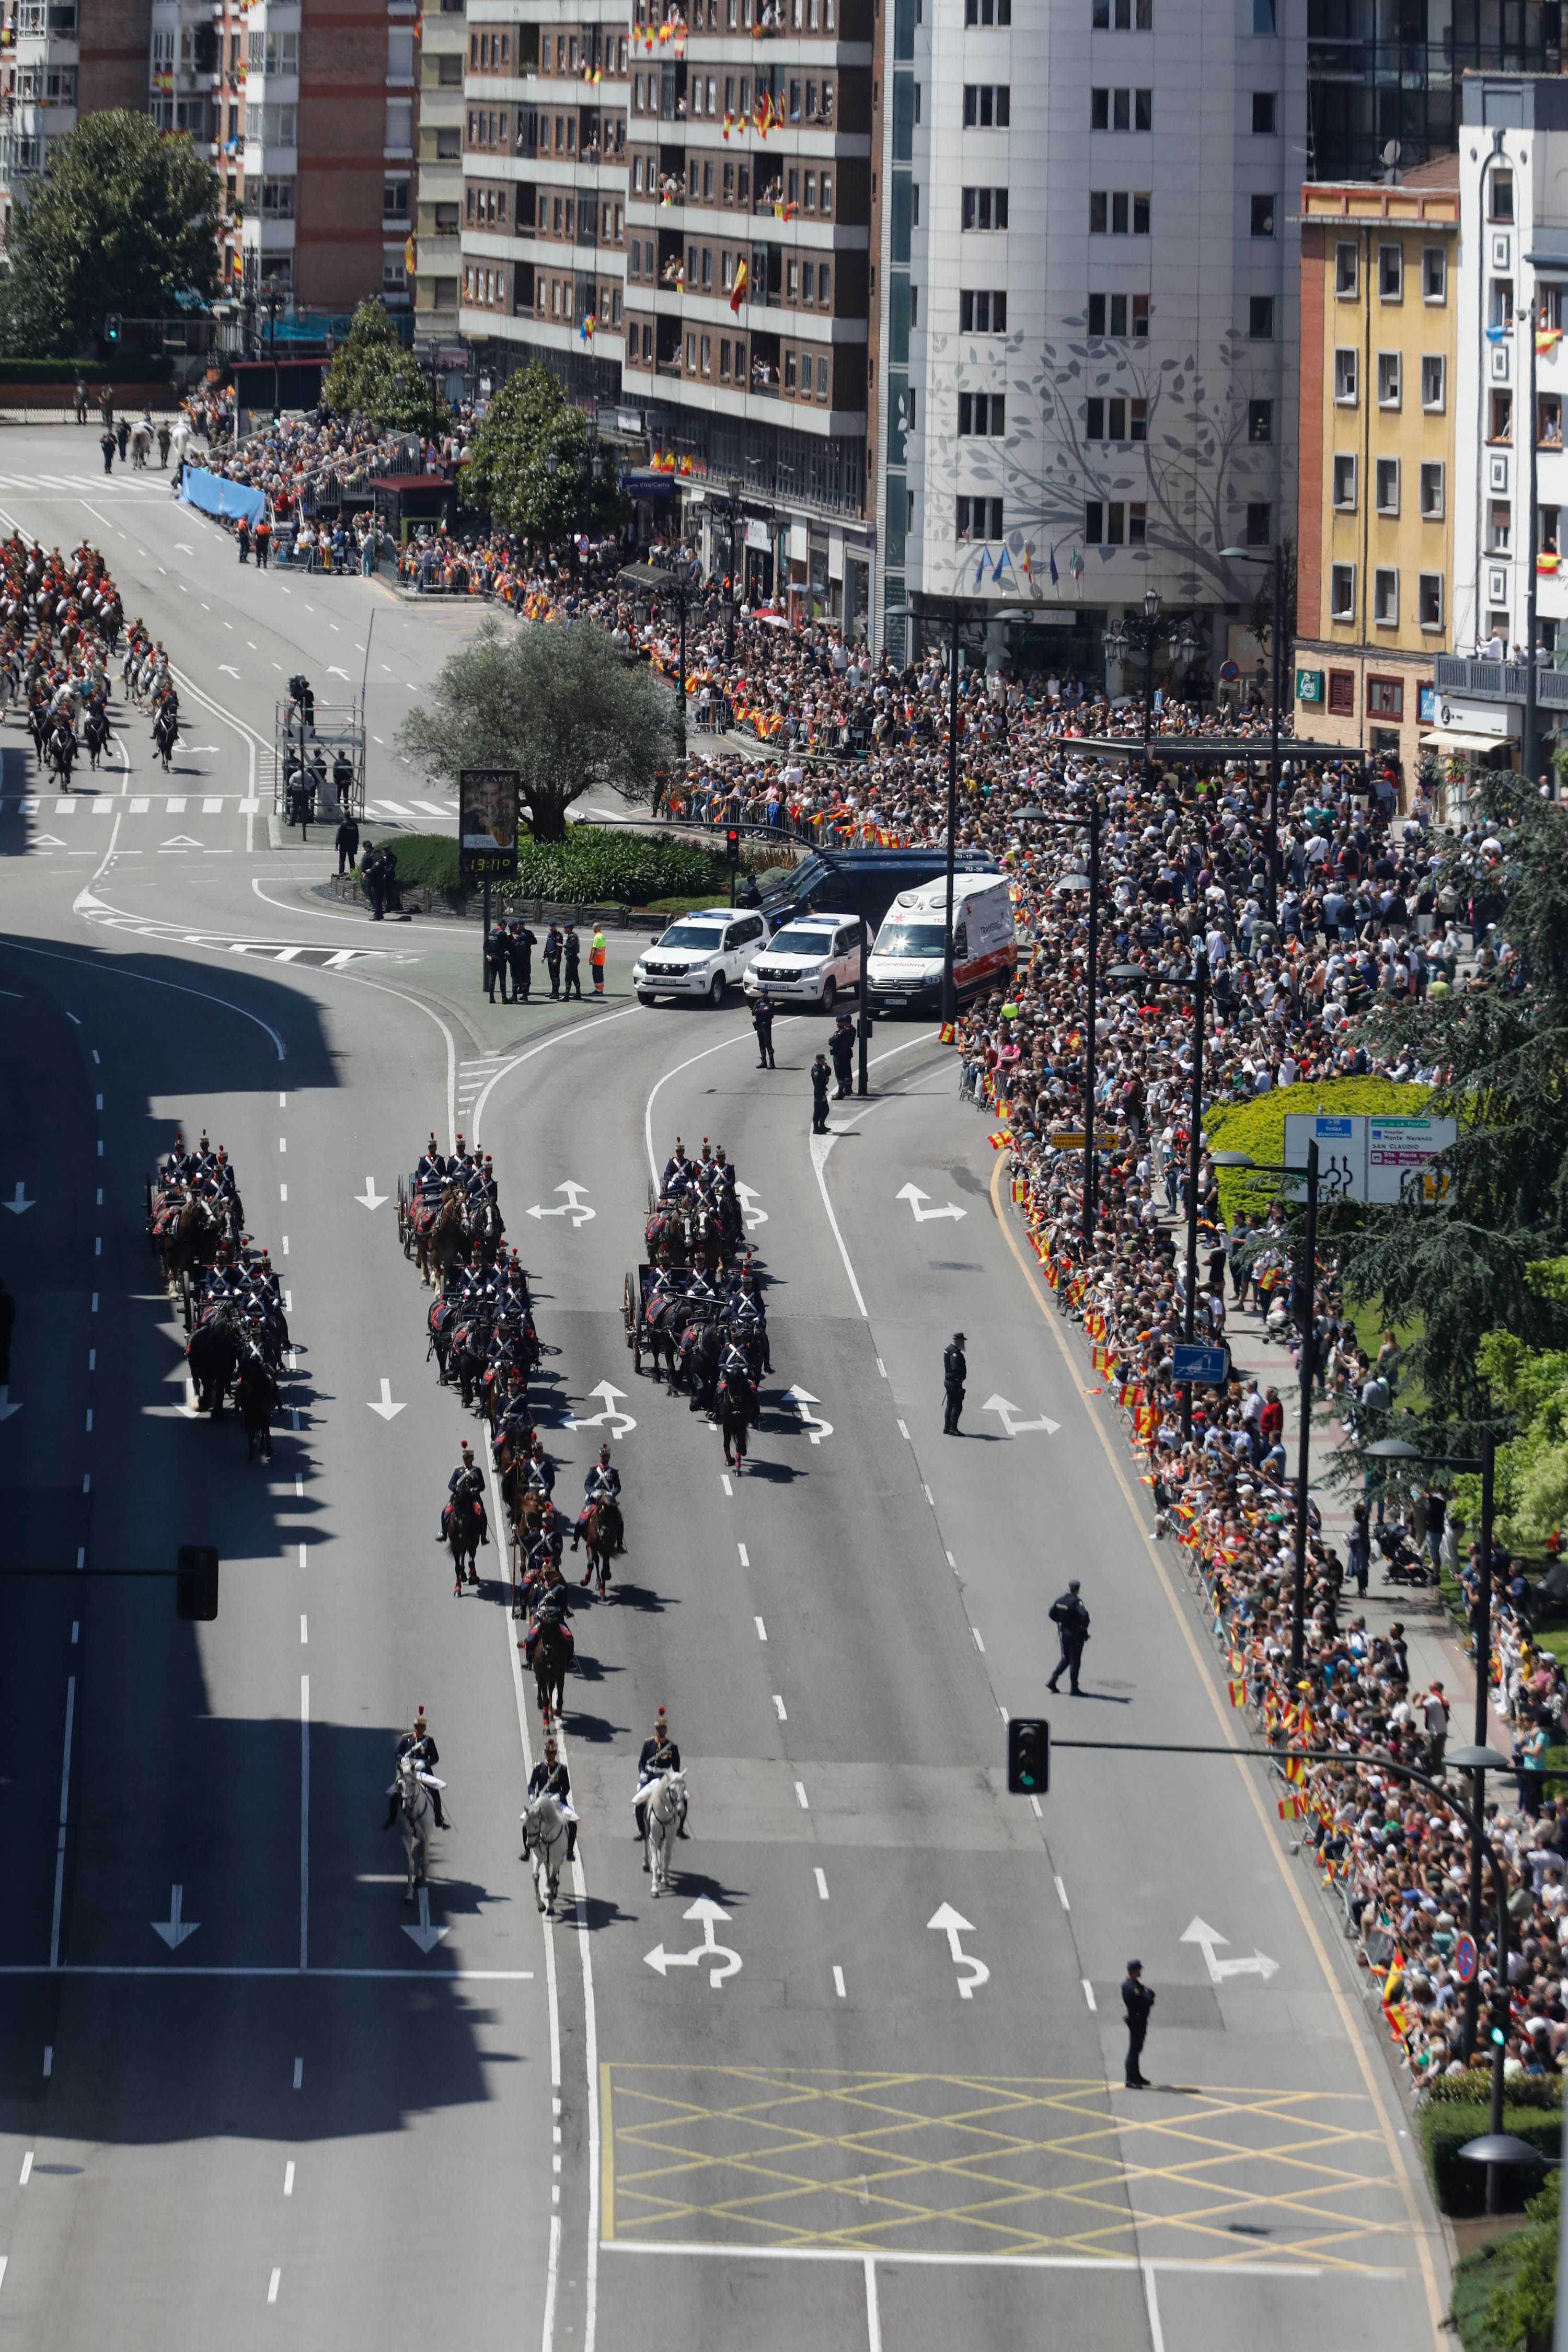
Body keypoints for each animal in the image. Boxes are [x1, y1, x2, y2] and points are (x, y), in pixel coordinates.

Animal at [393, 1759, 435, 1900]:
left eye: (413, 1783)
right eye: (400, 1784)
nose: (407, 1807)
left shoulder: (426, 1837)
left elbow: (425, 1863)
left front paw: (422, 1882)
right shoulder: (406, 1837)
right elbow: (409, 1865)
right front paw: (409, 1895)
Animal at [524, 1788, 580, 1919]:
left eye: (536, 1825)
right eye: (526, 1825)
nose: (530, 1845)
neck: (548, 1837)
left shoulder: (556, 1859)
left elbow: (553, 1880)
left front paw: (550, 1907)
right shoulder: (539, 1858)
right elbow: (536, 1876)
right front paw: (541, 1906)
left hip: (558, 1859)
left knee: (554, 1876)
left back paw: (553, 1891)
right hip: (547, 1859)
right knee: (548, 1870)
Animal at [639, 1769, 686, 1891]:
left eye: (684, 1788)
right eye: (672, 1789)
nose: (681, 1811)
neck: (665, 1813)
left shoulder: (670, 1837)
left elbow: (667, 1858)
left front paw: (664, 1880)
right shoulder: (653, 1837)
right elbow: (655, 1862)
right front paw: (655, 1888)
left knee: (659, 1849)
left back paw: (660, 1873)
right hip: (647, 1831)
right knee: (645, 1842)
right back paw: (646, 1863)